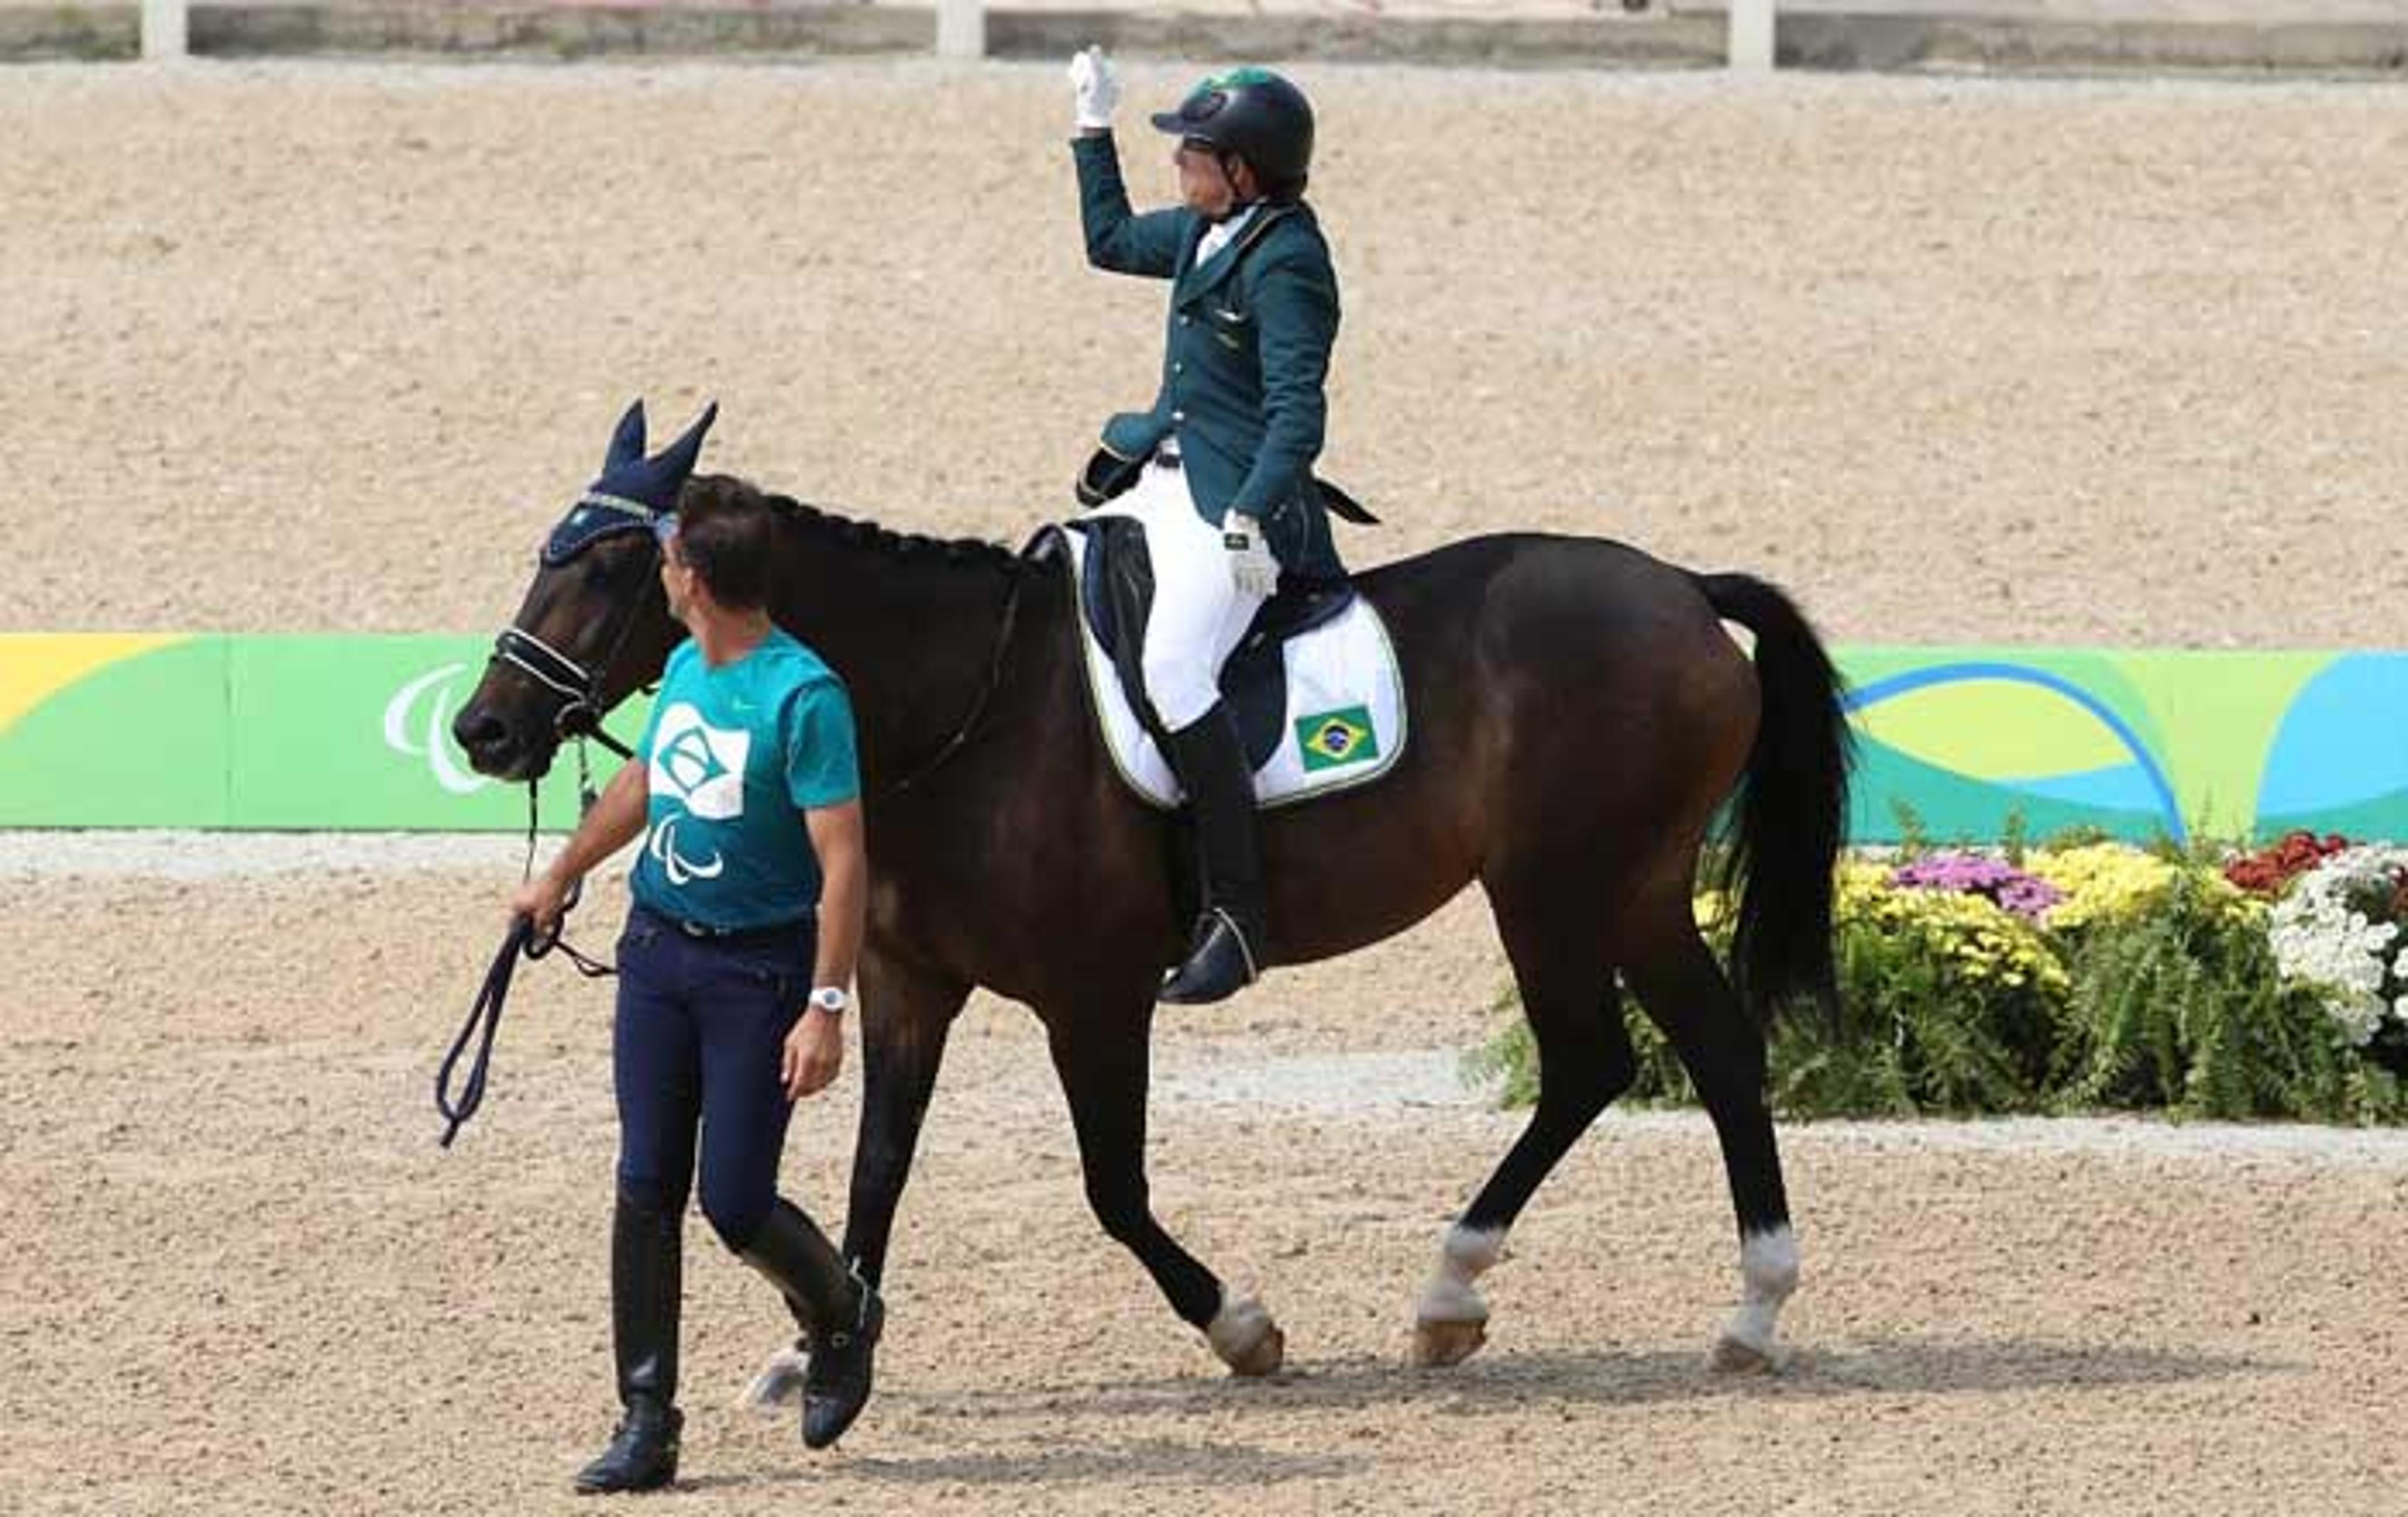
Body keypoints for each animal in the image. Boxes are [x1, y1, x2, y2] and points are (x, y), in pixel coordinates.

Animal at [455, 472, 1839, 1377]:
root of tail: (1681, 589)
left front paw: (1242, 1326)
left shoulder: (1095, 996)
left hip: (1558, 889)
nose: (484, 729)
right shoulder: (908, 985)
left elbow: (1113, 1187)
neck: (960, 708)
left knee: (1594, 1061)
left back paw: (1463, 1288)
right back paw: (1745, 1309)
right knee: (1712, 1052)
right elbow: (877, 1166)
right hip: (1629, 890)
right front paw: (823, 1347)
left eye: (609, 570)